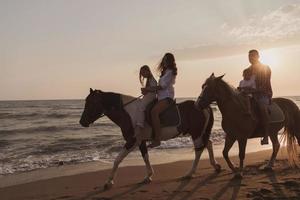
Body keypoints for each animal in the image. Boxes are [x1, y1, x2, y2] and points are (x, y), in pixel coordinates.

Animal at [79, 88, 220, 189]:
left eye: (91, 102)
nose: (82, 122)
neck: (129, 114)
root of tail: (203, 106)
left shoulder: (132, 141)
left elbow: (117, 159)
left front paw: (109, 182)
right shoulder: (140, 141)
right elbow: (145, 157)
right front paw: (148, 176)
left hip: (196, 133)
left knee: (199, 150)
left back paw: (190, 173)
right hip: (201, 132)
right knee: (208, 144)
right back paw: (215, 165)